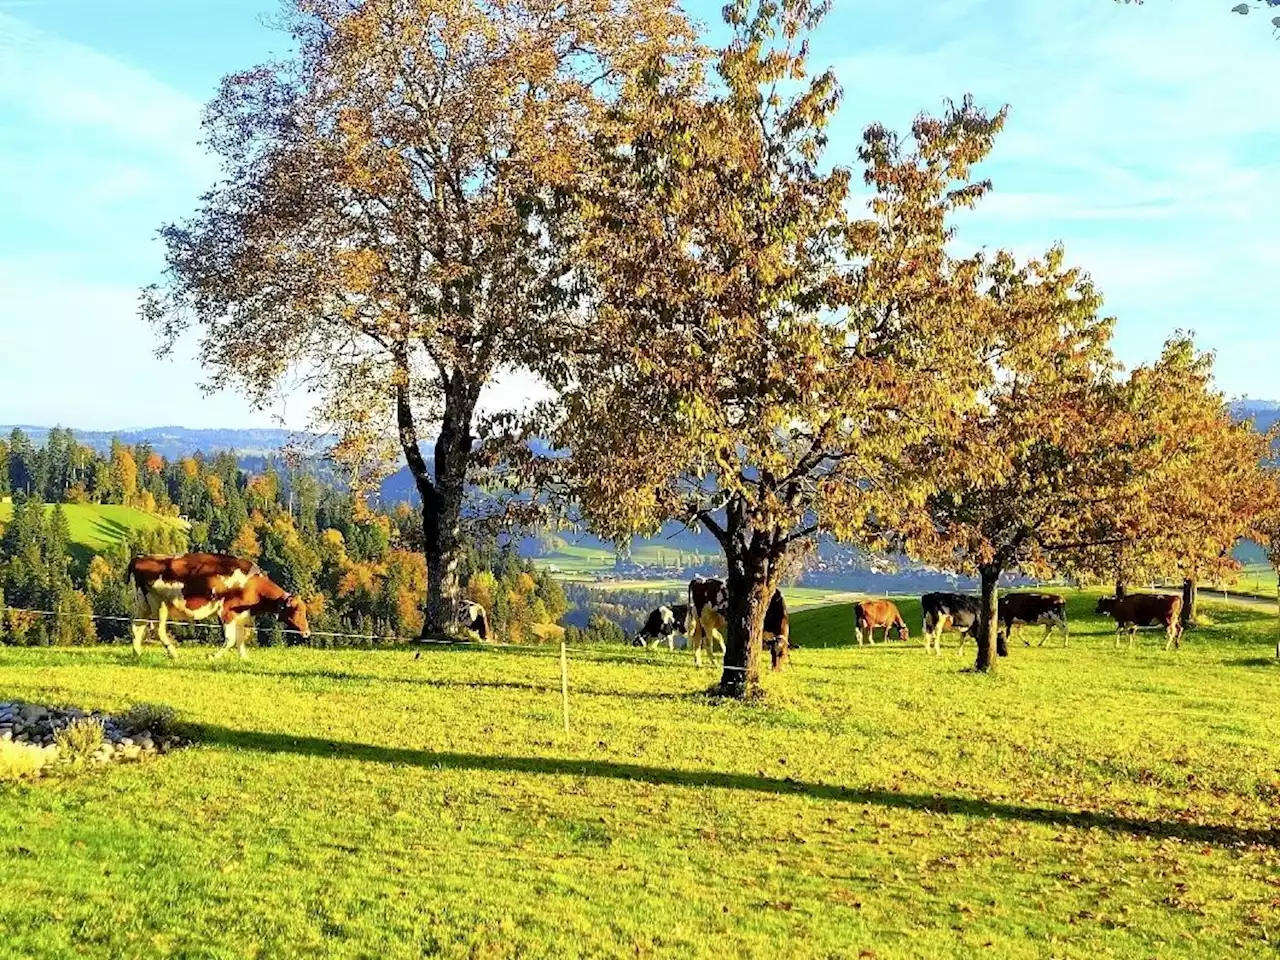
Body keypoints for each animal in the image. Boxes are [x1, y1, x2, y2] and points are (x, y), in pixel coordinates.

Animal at [127, 555, 309, 660]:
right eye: (297, 611)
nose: (307, 632)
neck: (251, 584)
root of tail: (140, 558)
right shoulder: (226, 611)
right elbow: (230, 639)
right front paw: (213, 656)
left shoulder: (241, 615)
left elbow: (240, 639)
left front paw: (245, 659)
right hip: (158, 603)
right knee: (159, 630)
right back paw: (173, 653)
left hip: (143, 603)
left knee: (137, 626)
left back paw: (137, 654)